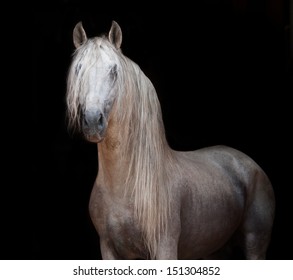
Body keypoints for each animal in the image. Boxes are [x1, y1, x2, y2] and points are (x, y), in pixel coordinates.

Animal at [65, 20, 274, 260]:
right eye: (79, 69)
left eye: (114, 70)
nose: (92, 120)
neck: (124, 187)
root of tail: (249, 163)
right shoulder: (108, 248)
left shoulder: (165, 247)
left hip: (255, 246)